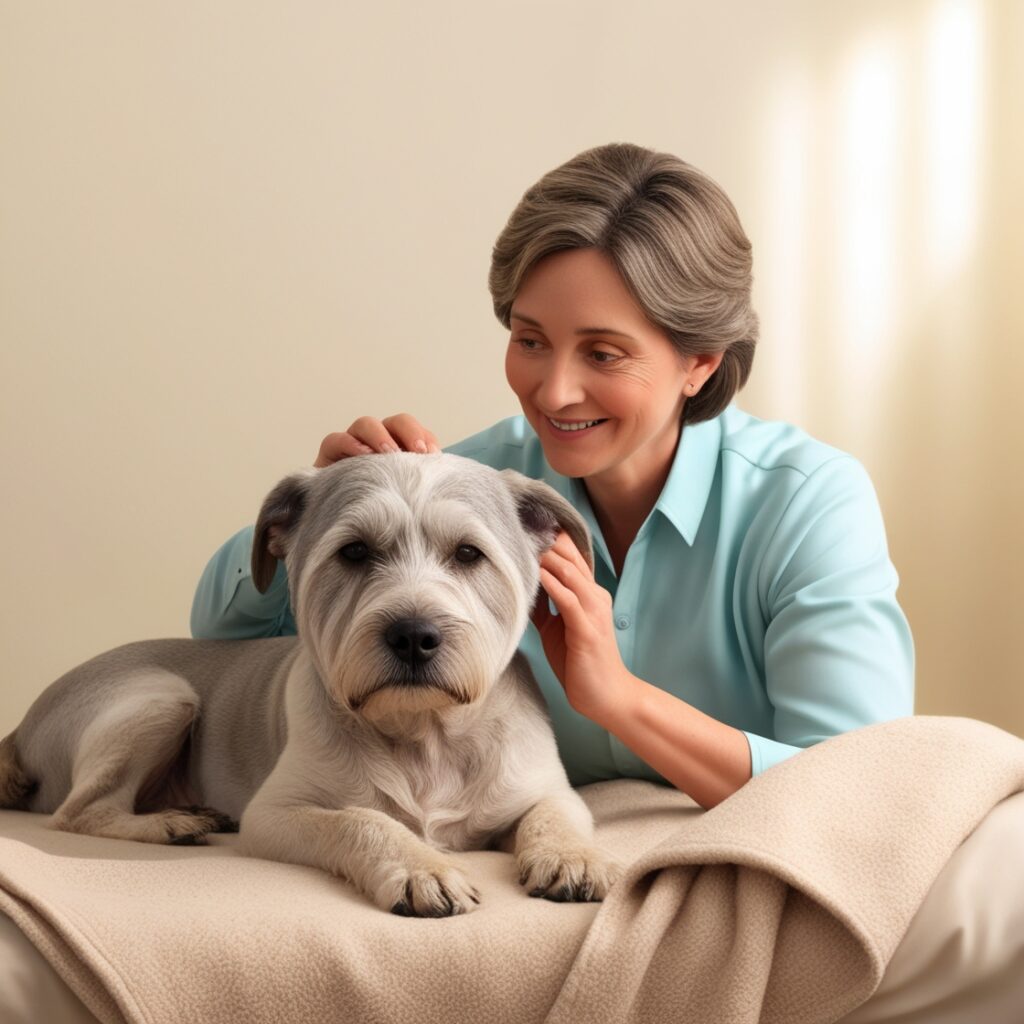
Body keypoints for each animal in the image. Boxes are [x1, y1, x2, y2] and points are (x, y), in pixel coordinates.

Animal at [0, 452, 622, 917]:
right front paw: (421, 867)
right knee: (79, 812)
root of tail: (20, 728)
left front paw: (572, 857)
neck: (424, 735)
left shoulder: (545, 791)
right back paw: (172, 822)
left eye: (469, 553)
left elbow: (553, 817)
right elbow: (361, 820)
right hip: (163, 697)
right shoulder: (276, 815)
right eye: (354, 551)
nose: (413, 635)